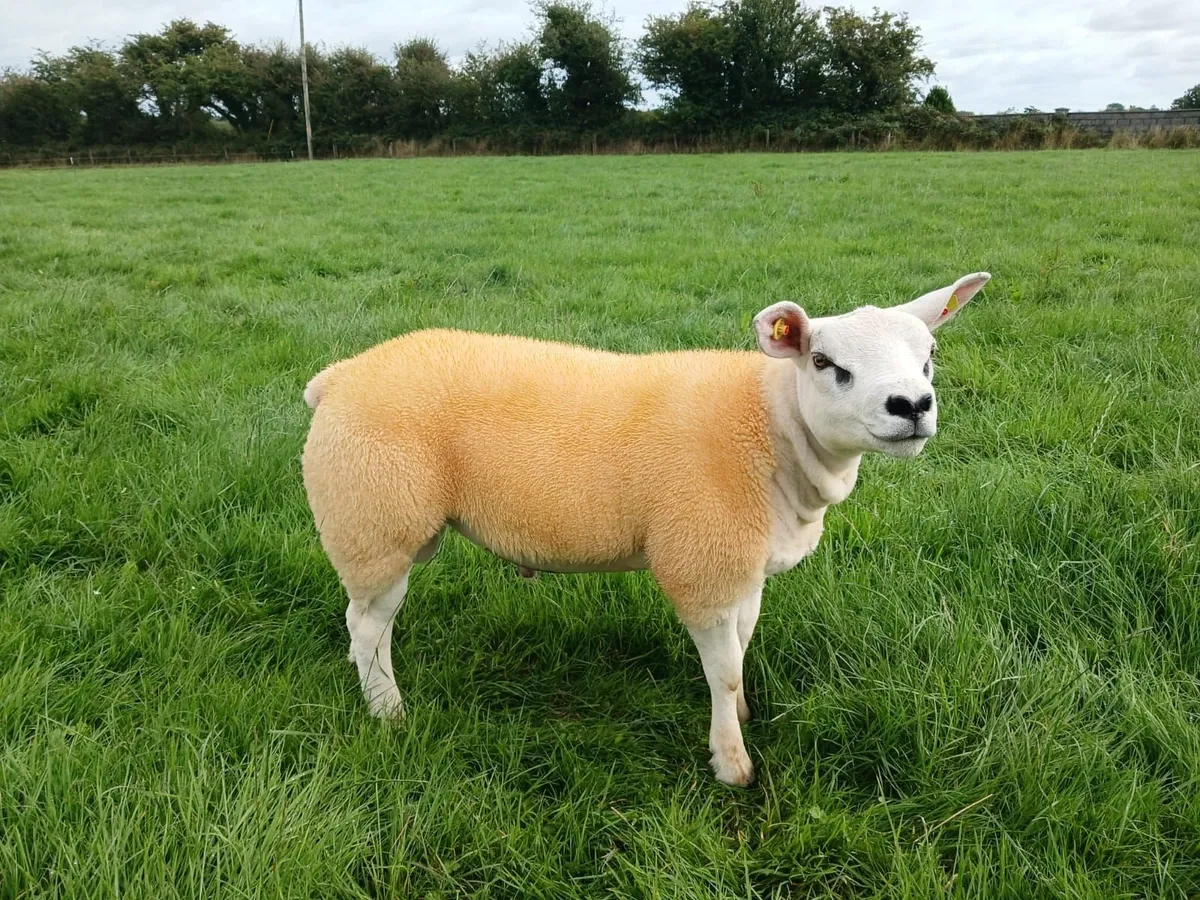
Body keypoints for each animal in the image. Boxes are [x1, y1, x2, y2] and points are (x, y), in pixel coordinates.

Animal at [302, 271, 991, 786]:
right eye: (823, 361)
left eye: (928, 358)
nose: (911, 406)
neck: (771, 427)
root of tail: (336, 376)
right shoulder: (702, 563)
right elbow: (723, 668)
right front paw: (732, 763)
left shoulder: (743, 565)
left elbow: (741, 650)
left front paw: (741, 715)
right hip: (374, 520)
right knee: (368, 626)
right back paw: (388, 713)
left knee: (364, 624)